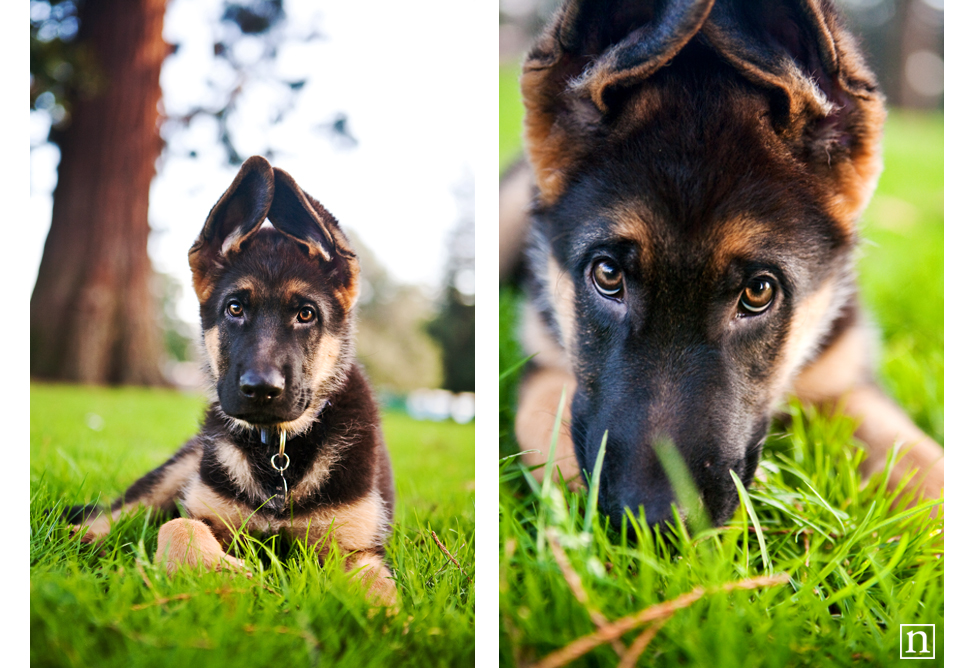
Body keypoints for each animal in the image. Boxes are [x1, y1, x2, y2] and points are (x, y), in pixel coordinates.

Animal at [71, 155, 398, 604]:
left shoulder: (356, 549)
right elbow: (178, 527)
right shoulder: (207, 511)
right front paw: (236, 577)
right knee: (115, 513)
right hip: (180, 468)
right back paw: (84, 540)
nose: (260, 390)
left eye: (306, 314)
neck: (277, 453)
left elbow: (378, 595)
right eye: (235, 308)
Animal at [502, 0, 940, 528]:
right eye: (607, 275)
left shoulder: (846, 377)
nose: (654, 525)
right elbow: (550, 427)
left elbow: (924, 463)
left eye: (759, 291)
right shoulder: (544, 362)